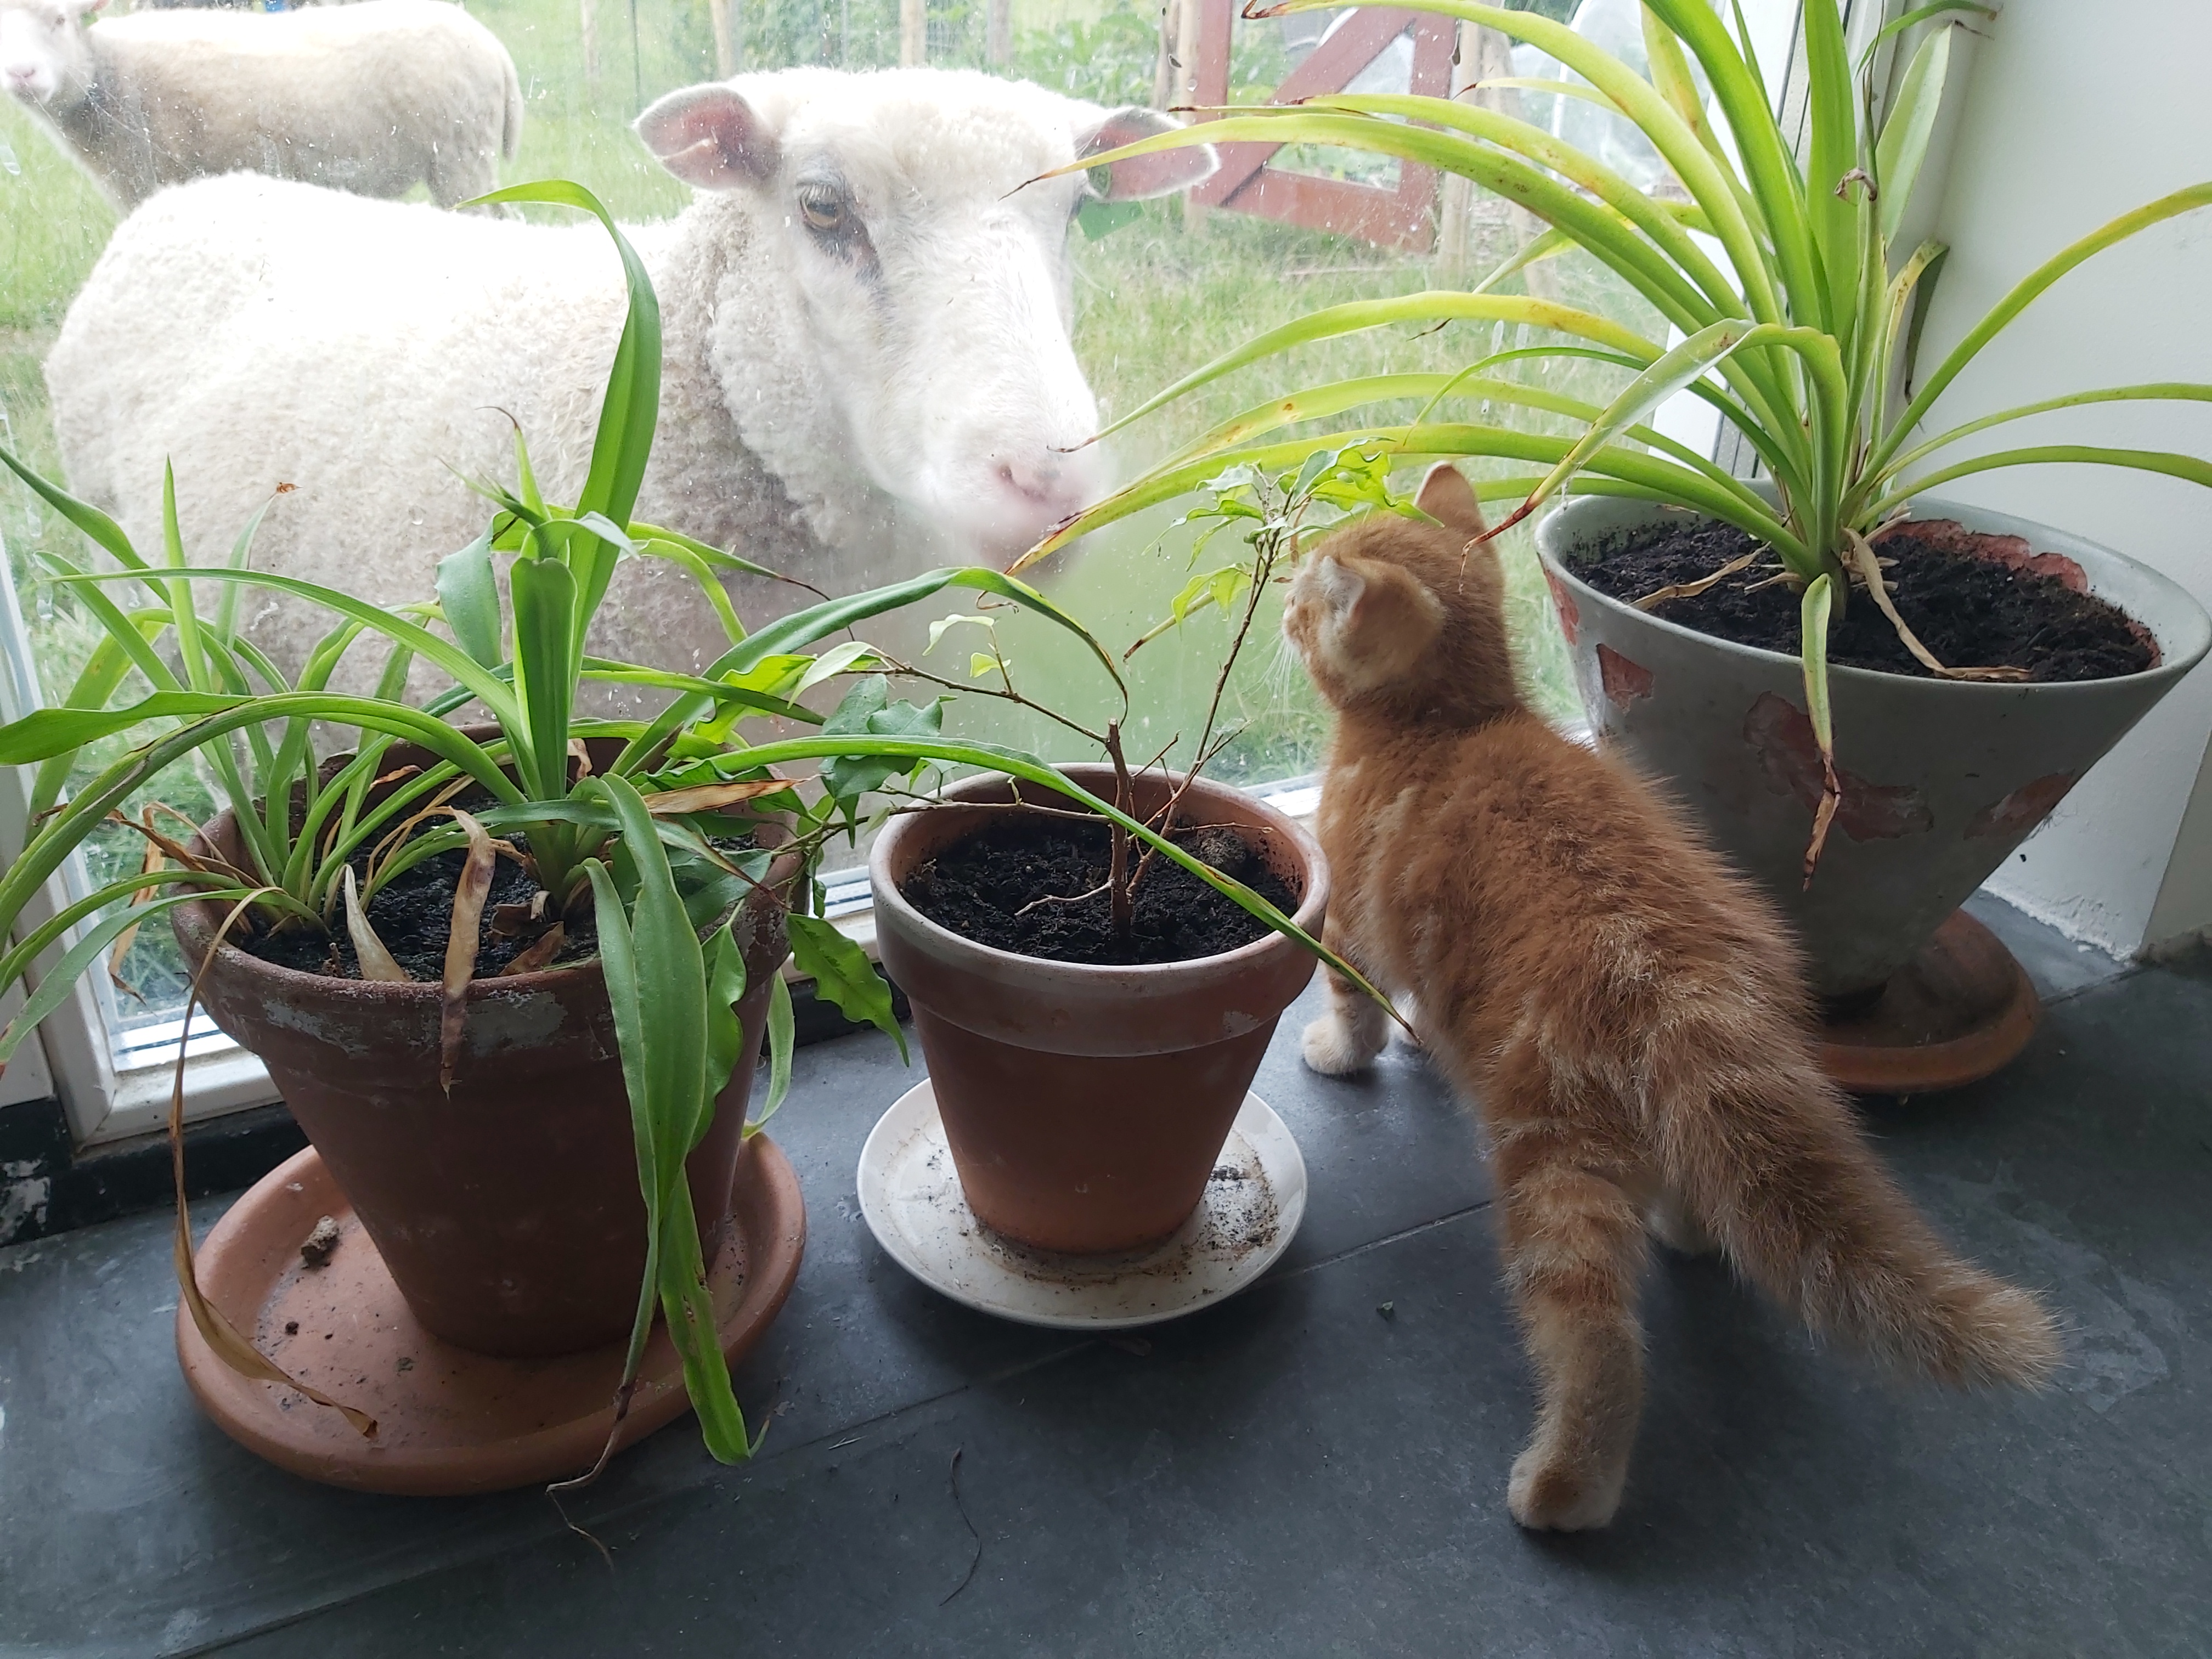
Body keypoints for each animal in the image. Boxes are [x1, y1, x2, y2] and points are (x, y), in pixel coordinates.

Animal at [1282, 462, 2060, 1532]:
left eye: (1307, 598)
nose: (1281, 602)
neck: (1452, 724)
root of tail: (1689, 984)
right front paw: (1414, 1040)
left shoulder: (1355, 912)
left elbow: (1354, 990)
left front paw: (1341, 1048)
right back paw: (1689, 1229)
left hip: (1551, 1149)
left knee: (1597, 1335)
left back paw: (1564, 1486)